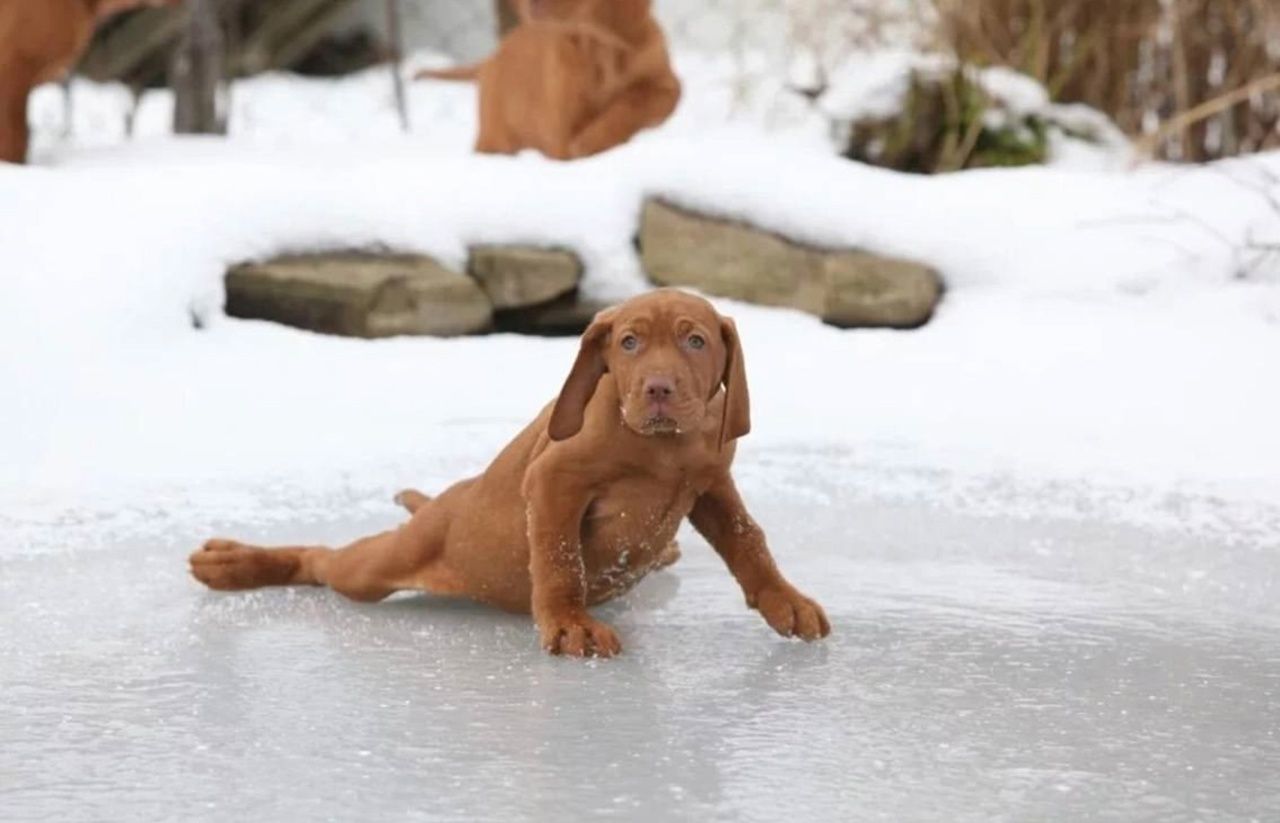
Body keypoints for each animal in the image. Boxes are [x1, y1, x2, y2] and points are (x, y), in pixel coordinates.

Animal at [189, 289, 829, 655]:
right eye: (628, 343)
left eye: (695, 341)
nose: (658, 389)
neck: (663, 447)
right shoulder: (553, 483)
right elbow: (558, 557)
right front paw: (569, 623)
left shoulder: (711, 486)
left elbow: (749, 541)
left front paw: (785, 600)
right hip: (378, 566)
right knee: (324, 560)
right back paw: (232, 563)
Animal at [417, 0, 680, 161]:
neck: (599, 46)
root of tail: (492, 56)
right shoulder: (561, 134)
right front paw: (588, 143)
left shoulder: (668, 87)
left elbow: (634, 101)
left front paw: (592, 140)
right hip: (494, 136)